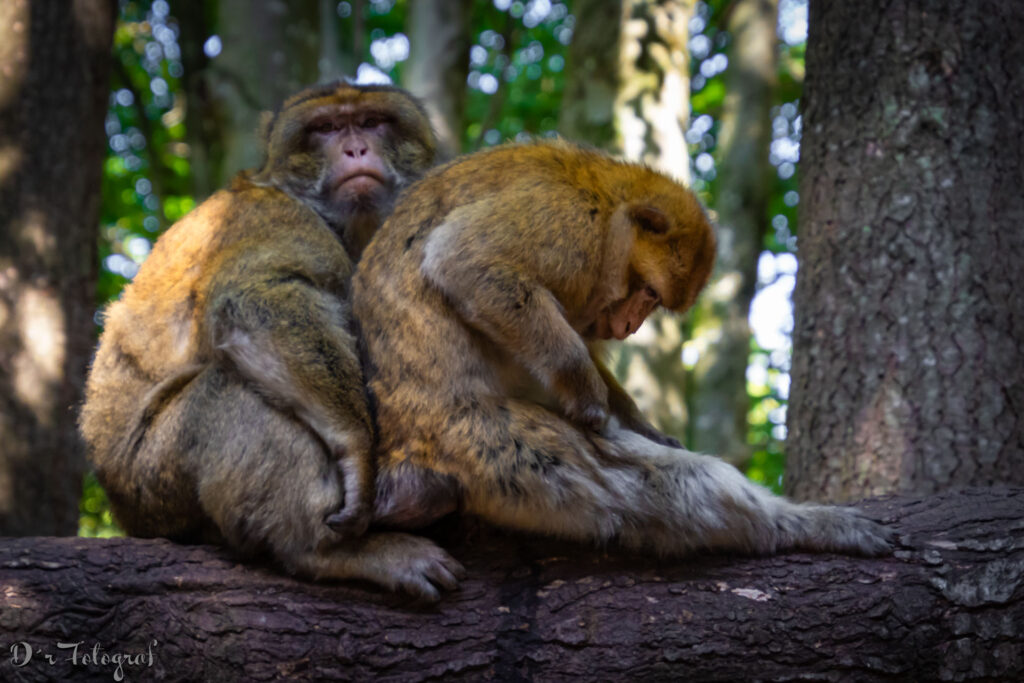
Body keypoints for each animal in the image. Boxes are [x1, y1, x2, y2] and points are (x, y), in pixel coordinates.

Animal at [79, 82, 464, 602]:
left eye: (372, 122)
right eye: (326, 128)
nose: (355, 150)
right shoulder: (278, 219)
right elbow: (255, 299)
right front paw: (359, 450)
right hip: (150, 479)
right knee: (233, 390)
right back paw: (326, 551)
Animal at [354, 140, 897, 561]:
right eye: (649, 293)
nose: (633, 325)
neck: (608, 199)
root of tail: (404, 447)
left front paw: (638, 418)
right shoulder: (568, 222)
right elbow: (464, 261)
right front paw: (591, 398)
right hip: (486, 442)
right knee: (660, 486)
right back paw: (800, 524)